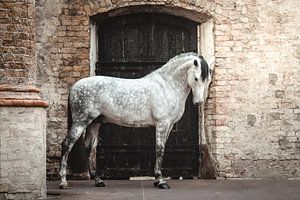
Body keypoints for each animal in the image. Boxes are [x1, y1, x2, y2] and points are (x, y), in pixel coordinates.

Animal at [59, 52, 213, 189]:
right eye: (196, 78)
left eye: (208, 80)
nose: (199, 103)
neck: (167, 86)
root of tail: (74, 87)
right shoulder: (162, 123)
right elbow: (159, 149)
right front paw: (161, 181)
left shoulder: (169, 125)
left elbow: (162, 149)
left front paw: (157, 180)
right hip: (81, 121)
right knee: (67, 144)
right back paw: (63, 182)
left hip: (93, 123)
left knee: (88, 148)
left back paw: (98, 181)